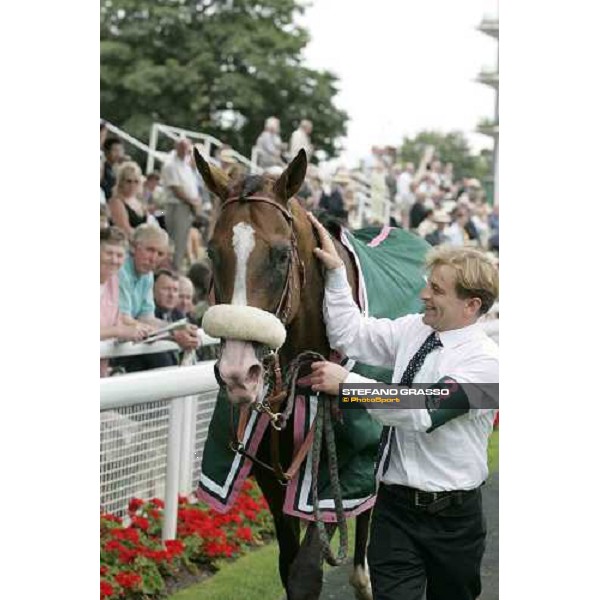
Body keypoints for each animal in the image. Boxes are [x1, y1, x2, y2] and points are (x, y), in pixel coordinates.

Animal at [195, 149, 372, 600]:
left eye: (279, 255)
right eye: (211, 252)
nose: (239, 372)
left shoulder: (337, 464)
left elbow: (306, 572)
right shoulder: (269, 475)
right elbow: (287, 564)